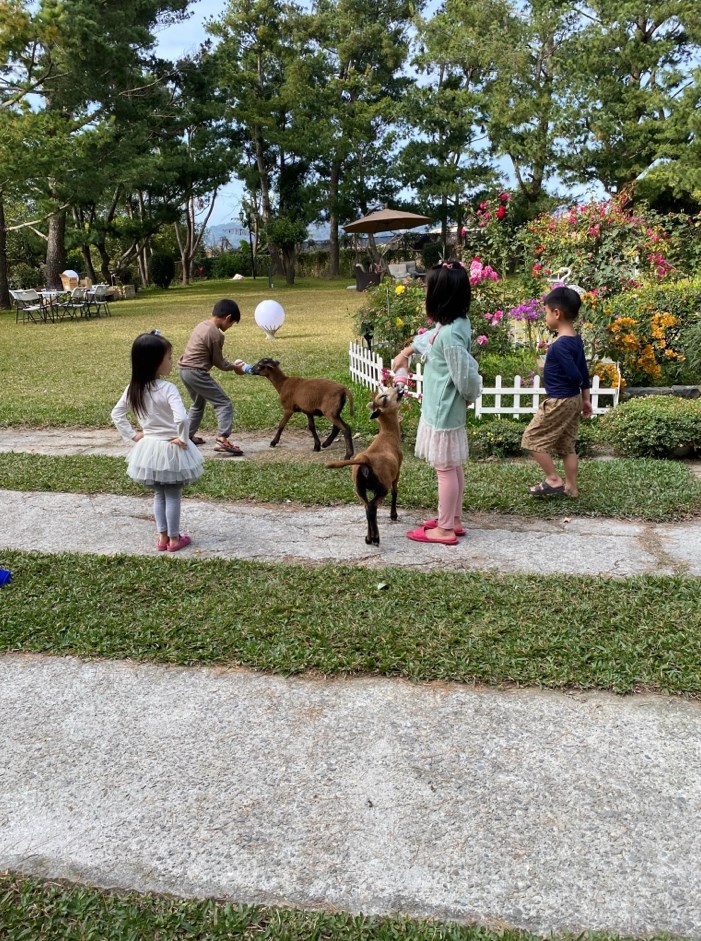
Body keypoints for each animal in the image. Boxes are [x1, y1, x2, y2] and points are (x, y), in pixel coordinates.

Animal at [326, 382, 402, 544]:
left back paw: (368, 538)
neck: (388, 435)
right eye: (384, 397)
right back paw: (375, 538)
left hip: (359, 487)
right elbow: (395, 491)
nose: (397, 386)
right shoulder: (397, 471)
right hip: (382, 485)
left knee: (367, 508)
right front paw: (393, 515)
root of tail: (365, 461)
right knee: (372, 508)